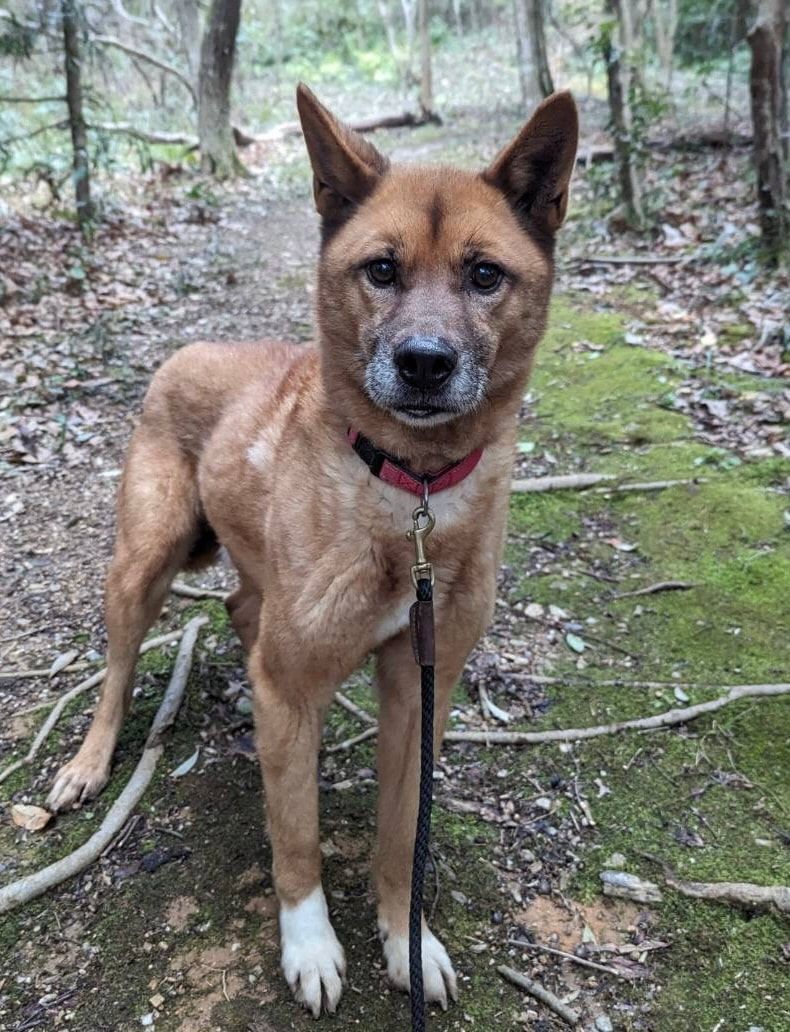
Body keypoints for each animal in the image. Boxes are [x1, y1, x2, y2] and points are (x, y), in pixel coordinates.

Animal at [51, 86, 581, 1015]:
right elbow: (295, 837)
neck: (410, 496)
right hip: (144, 561)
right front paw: (311, 945)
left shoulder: (420, 687)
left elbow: (403, 835)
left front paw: (406, 939)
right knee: (118, 667)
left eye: (485, 275)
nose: (424, 363)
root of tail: (192, 349)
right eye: (381, 270)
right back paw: (89, 761)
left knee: (240, 609)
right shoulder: (293, 686)